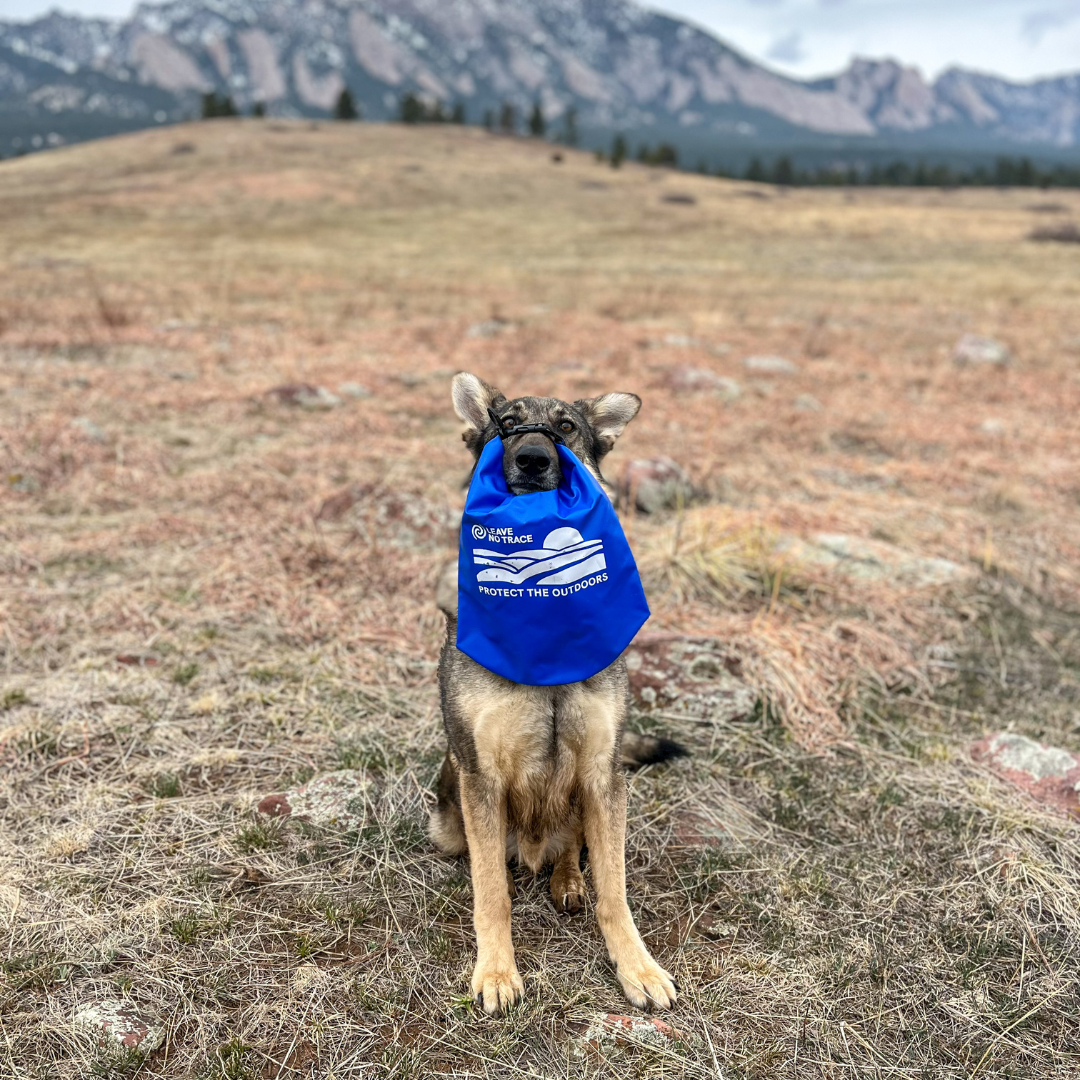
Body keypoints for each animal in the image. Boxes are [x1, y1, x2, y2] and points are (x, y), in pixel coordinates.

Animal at [427, 371, 682, 1010]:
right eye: (505, 424)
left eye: (566, 428)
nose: (534, 459)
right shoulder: (481, 777)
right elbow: (491, 891)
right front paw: (496, 971)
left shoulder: (603, 774)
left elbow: (615, 889)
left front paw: (636, 967)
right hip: (448, 813)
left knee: (572, 850)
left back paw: (566, 881)